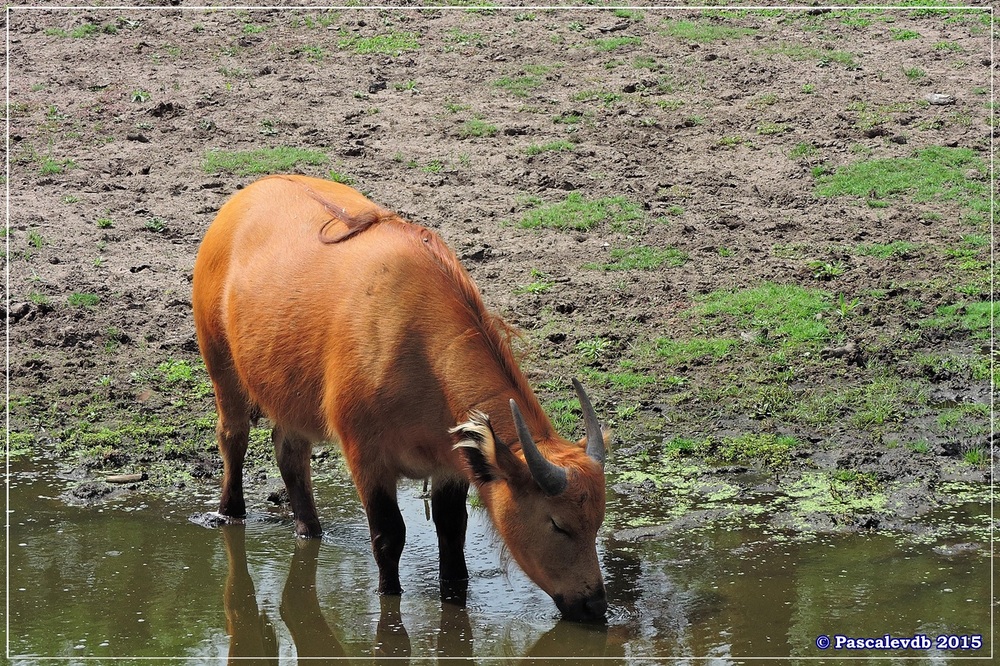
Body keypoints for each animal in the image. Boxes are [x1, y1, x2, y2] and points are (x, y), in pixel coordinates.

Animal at [190, 174, 604, 620]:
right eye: (558, 524)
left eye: (597, 522)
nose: (596, 603)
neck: (419, 348)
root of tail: (248, 194)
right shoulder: (366, 457)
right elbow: (389, 537)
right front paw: (389, 598)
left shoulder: (450, 466)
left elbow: (452, 534)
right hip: (222, 366)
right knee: (232, 437)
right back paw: (228, 512)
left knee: (289, 451)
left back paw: (309, 529)